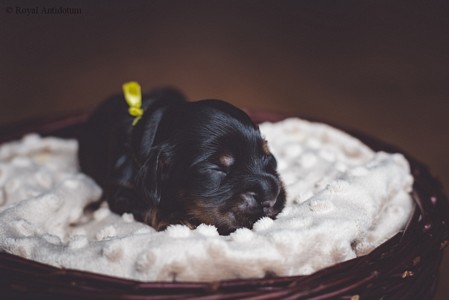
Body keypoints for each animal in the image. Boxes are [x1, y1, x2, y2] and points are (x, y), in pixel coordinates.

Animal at [77, 86, 286, 234]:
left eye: (269, 158)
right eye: (217, 168)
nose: (271, 195)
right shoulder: (119, 189)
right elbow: (144, 203)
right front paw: (175, 217)